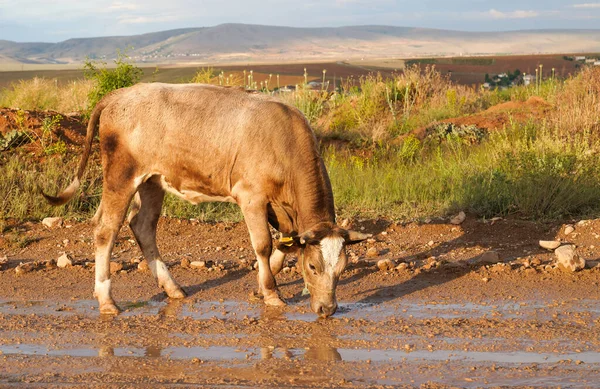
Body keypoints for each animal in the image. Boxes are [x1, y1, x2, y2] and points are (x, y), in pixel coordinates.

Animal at [42, 82, 368, 316]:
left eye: (342, 269)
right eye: (313, 267)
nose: (328, 309)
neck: (282, 141)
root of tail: (120, 94)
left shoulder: (284, 210)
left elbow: (284, 246)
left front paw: (261, 287)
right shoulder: (251, 197)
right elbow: (263, 245)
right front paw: (272, 294)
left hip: (153, 180)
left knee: (143, 225)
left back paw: (172, 287)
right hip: (121, 176)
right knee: (105, 230)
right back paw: (107, 300)